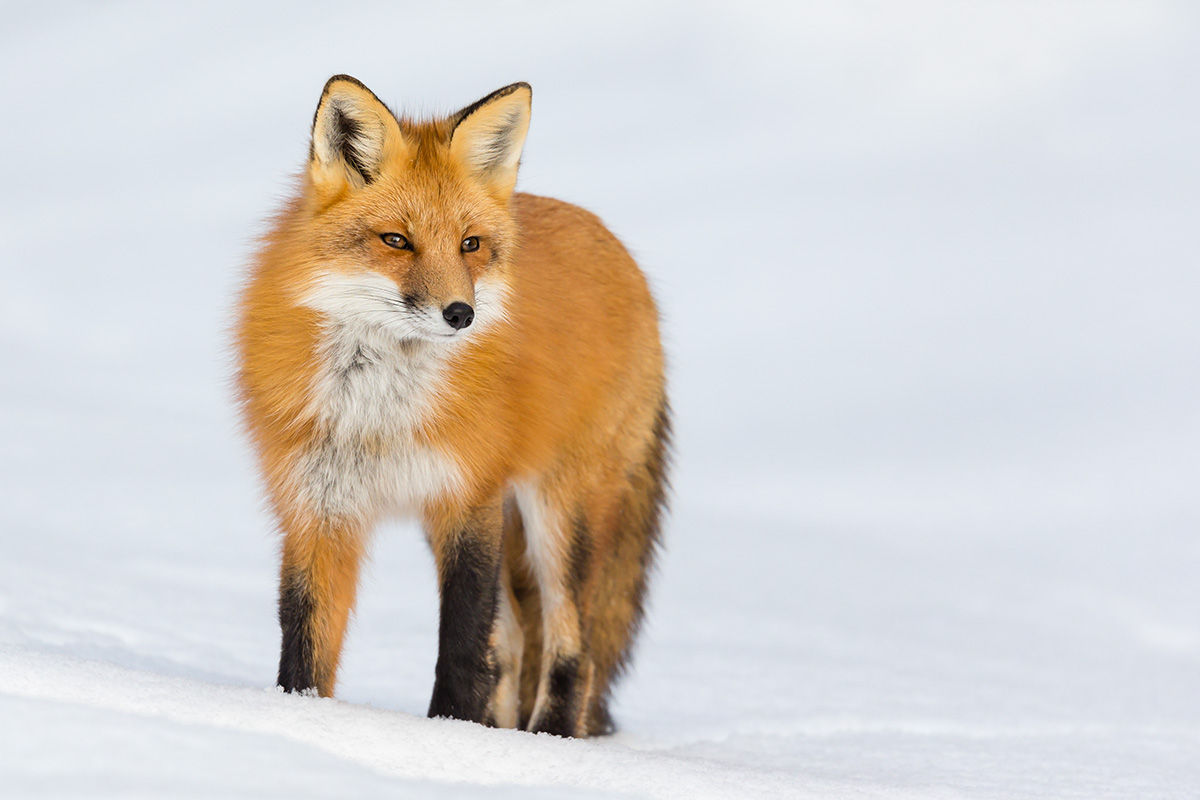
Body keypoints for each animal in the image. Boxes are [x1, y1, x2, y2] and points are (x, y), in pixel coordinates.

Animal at [234, 75, 669, 737]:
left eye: (470, 245)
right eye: (396, 240)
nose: (460, 314)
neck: (378, 412)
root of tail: (617, 247)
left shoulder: (468, 499)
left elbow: (463, 648)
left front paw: (449, 738)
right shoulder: (320, 508)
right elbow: (305, 647)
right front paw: (300, 723)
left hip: (562, 514)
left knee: (574, 651)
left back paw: (548, 740)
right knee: (515, 645)